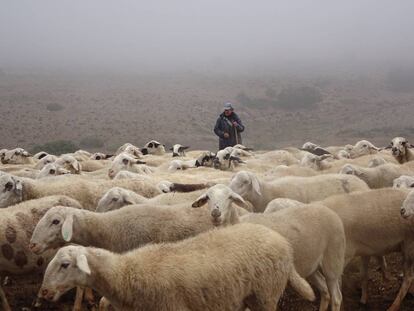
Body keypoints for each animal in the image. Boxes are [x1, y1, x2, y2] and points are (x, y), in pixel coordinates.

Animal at [38, 224, 316, 311]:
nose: (44, 293)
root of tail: (283, 243)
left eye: (65, 265)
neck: (126, 273)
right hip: (249, 295)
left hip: (267, 293)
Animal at [192, 184, 344, 310]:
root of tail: (329, 211)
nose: (215, 214)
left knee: (336, 297)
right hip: (312, 265)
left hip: (333, 261)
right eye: (207, 197)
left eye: (230, 197)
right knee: (325, 291)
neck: (237, 224)